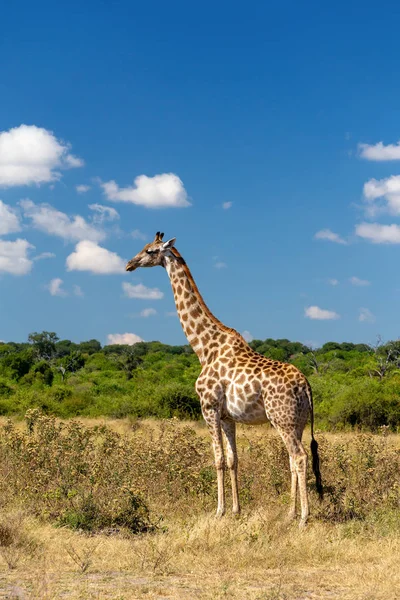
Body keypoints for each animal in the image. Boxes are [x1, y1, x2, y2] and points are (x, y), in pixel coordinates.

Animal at [126, 231, 324, 524]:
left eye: (150, 251)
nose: (129, 264)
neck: (204, 348)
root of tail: (306, 386)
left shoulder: (208, 407)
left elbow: (217, 459)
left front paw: (218, 510)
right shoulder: (228, 416)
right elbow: (233, 460)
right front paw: (236, 509)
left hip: (282, 419)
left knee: (299, 457)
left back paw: (303, 518)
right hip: (297, 422)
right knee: (292, 459)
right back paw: (290, 513)